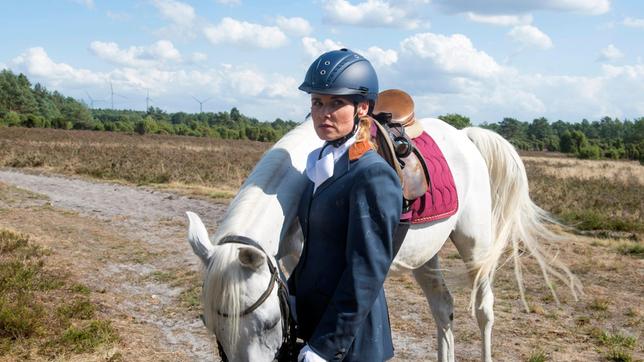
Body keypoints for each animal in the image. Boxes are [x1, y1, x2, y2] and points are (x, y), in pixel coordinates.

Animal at [187, 118, 584, 362]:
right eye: (210, 324)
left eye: (269, 324)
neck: (309, 178)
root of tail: (465, 136)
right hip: (426, 255)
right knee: (443, 307)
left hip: (476, 246)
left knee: (484, 310)